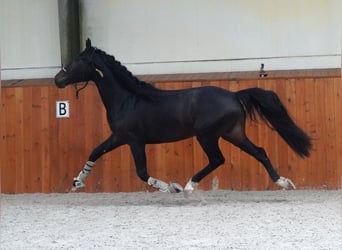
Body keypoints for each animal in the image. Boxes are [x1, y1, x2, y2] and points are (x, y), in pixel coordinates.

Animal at [55, 39, 312, 194]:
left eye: (77, 60)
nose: (58, 79)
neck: (128, 99)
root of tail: (234, 95)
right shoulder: (119, 137)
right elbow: (95, 152)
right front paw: (77, 182)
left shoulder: (134, 141)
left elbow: (142, 172)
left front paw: (172, 187)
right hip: (233, 133)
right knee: (259, 152)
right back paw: (283, 182)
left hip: (207, 135)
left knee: (218, 159)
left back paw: (188, 185)